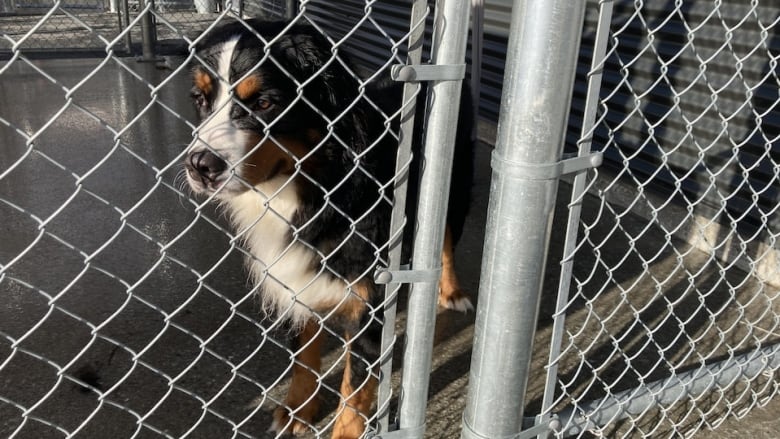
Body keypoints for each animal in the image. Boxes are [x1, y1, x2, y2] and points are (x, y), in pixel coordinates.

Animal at [184, 18, 476, 438]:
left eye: (264, 103)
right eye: (200, 98)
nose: (200, 166)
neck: (310, 189)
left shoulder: (371, 296)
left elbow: (355, 386)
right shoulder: (294, 278)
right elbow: (304, 356)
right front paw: (297, 411)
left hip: (454, 185)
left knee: (447, 240)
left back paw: (451, 291)